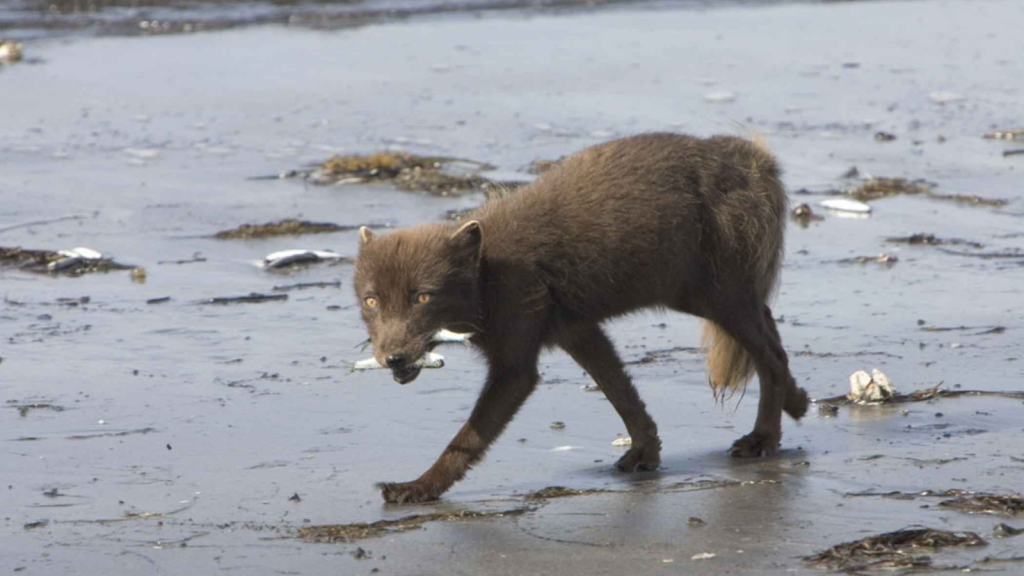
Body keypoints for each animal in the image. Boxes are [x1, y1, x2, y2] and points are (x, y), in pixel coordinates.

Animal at [356, 132, 811, 500]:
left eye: (423, 297)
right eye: (371, 301)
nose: (392, 358)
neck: (488, 275)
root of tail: (757, 161)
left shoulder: (516, 365)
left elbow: (468, 436)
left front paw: (417, 488)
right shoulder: (577, 330)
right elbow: (621, 392)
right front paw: (644, 454)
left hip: (712, 294)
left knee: (771, 356)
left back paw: (762, 439)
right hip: (713, 294)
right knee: (769, 328)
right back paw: (798, 401)